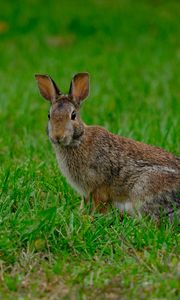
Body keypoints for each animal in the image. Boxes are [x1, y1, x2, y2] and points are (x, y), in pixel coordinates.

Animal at [34, 72, 179, 220]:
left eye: (73, 115)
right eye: (49, 115)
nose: (57, 136)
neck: (79, 139)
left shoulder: (99, 187)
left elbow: (100, 204)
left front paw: (91, 218)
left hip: (144, 188)